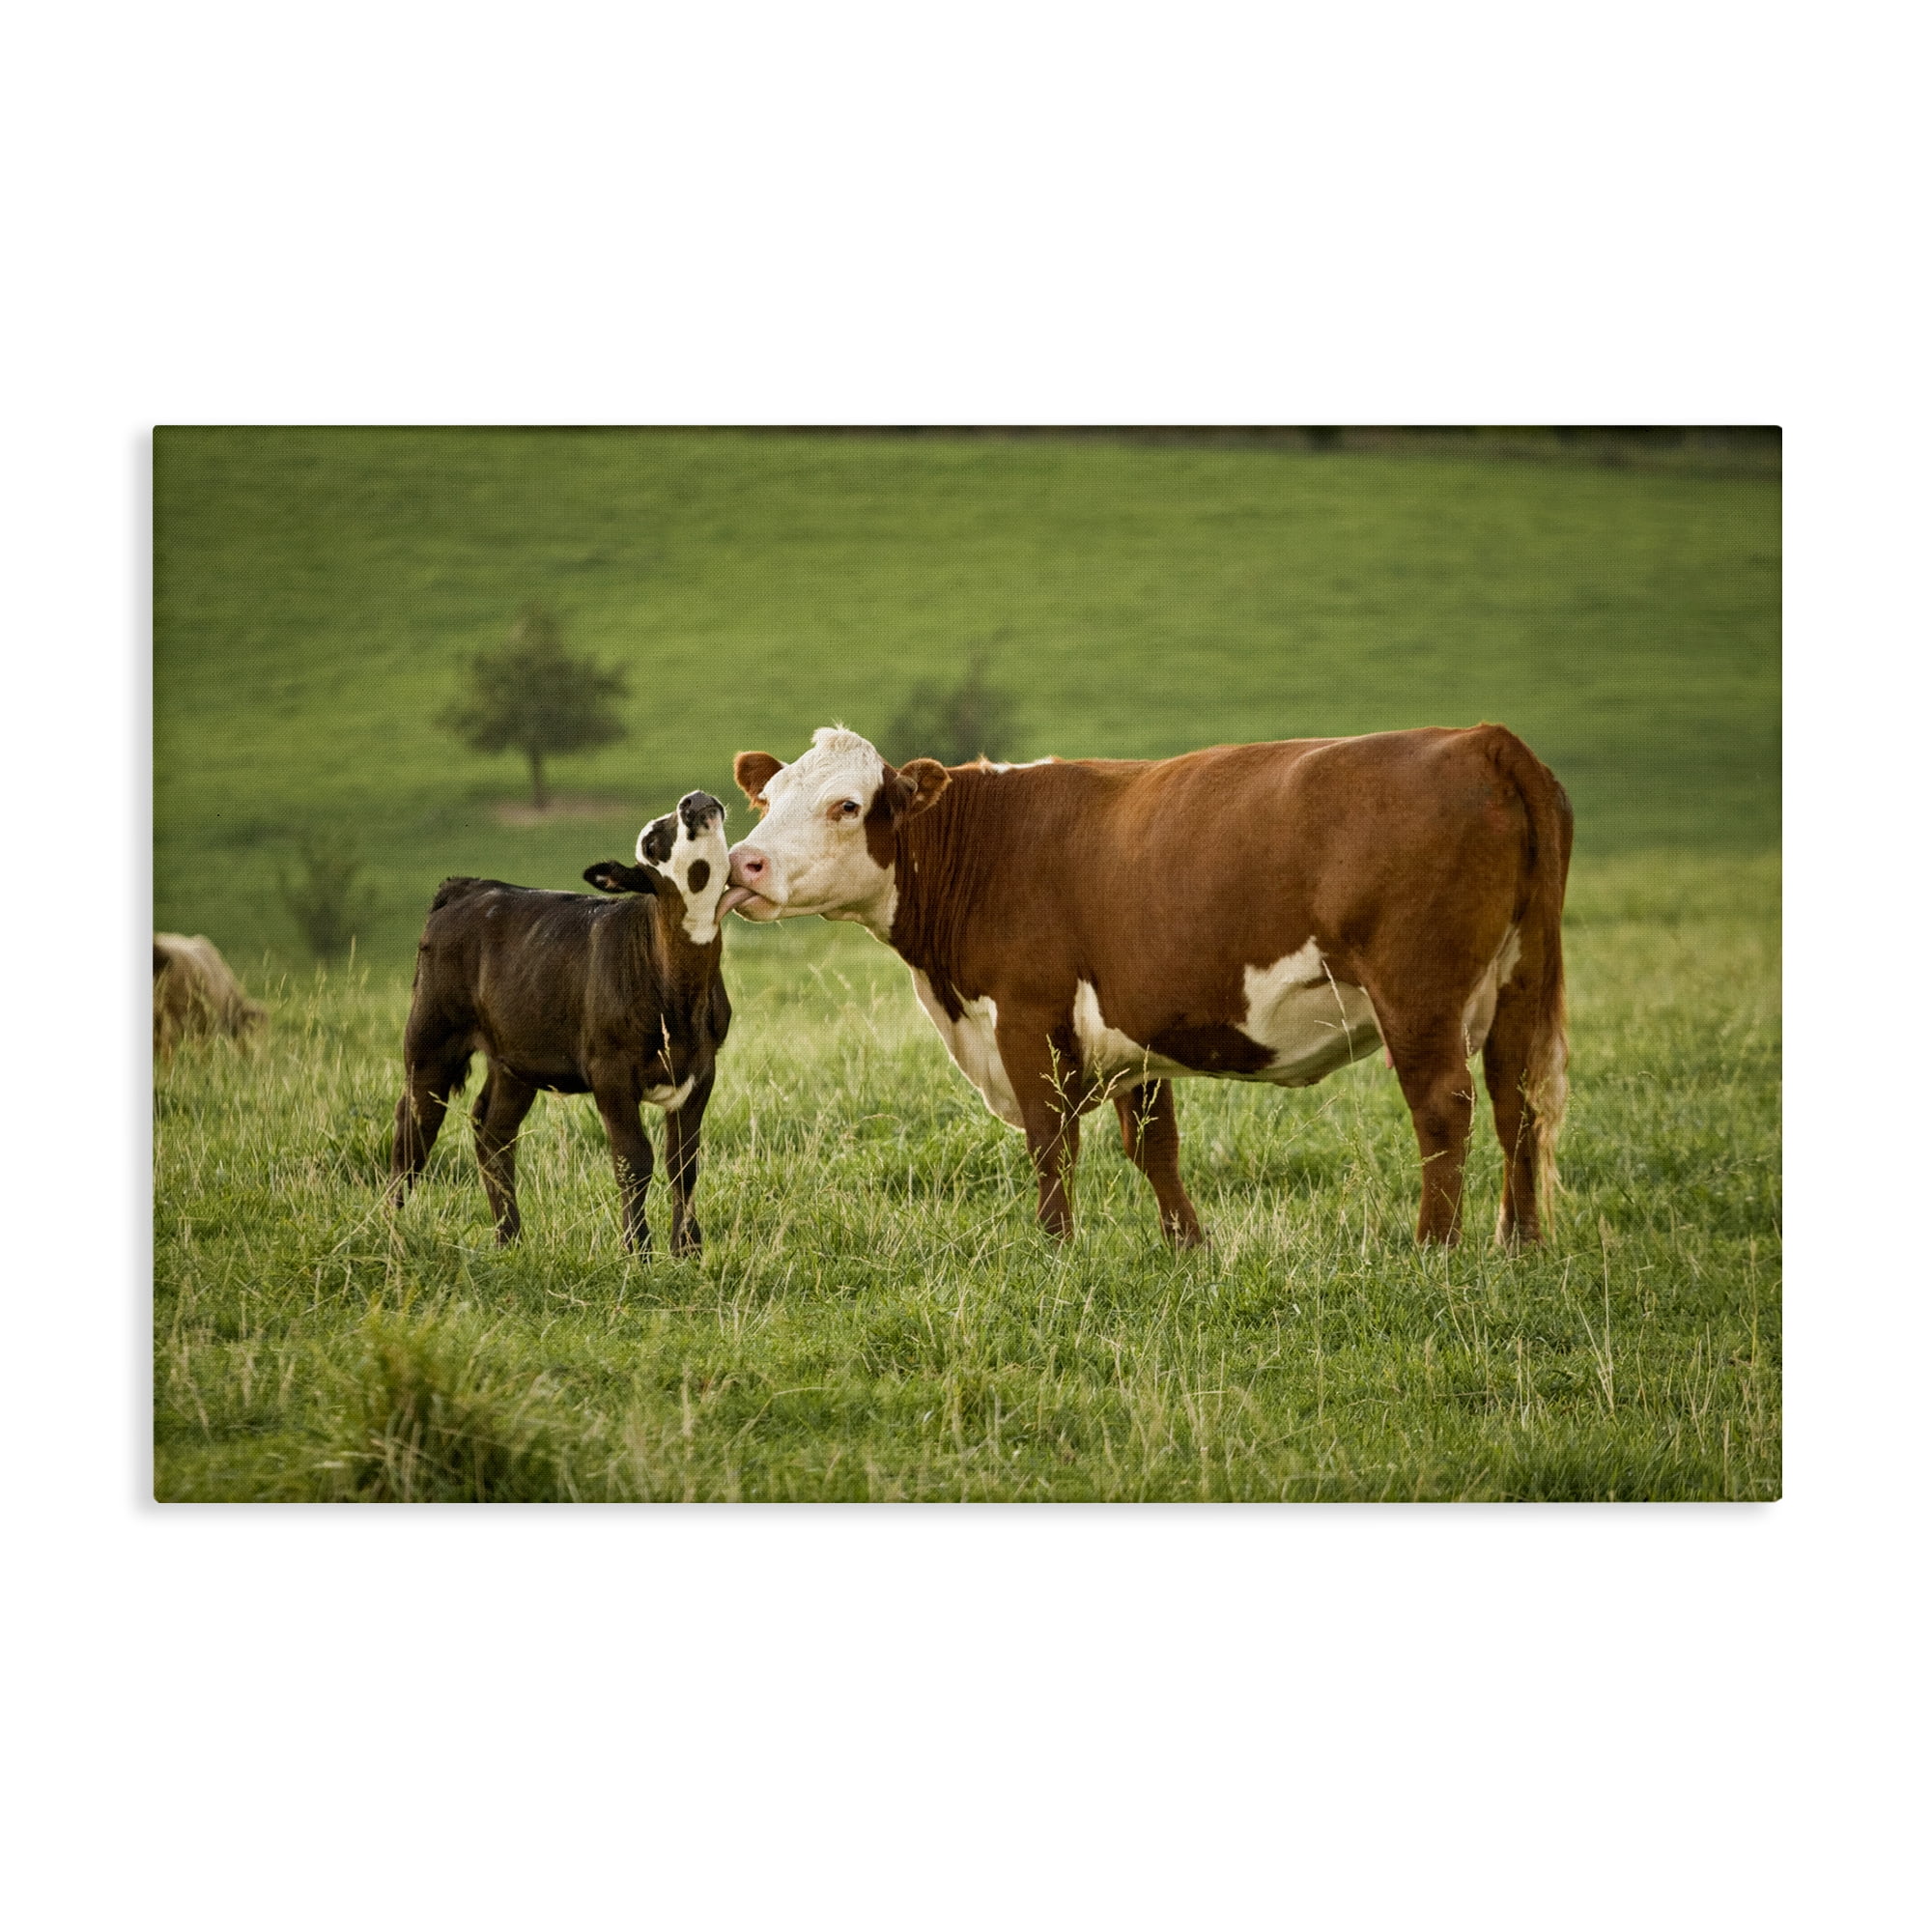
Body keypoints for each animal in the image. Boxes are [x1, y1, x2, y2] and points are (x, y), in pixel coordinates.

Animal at [389, 791, 734, 1256]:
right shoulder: (609, 1071)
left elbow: (684, 1162)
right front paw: (637, 1250)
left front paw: (688, 1250)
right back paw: (391, 1229)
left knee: (493, 1132)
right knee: (413, 1127)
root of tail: (469, 886)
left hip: (515, 1058)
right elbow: (634, 1159)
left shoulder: (702, 1068)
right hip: (431, 1037)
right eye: (651, 841)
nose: (694, 800)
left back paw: (509, 1238)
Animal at [720, 726, 1570, 1250]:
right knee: (1517, 1102)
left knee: (1444, 1109)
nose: (741, 864)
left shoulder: (1027, 1017)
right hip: (1518, 983)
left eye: (847, 805)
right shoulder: (1133, 1031)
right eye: (767, 800)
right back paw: (1520, 1243)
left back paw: (1435, 1246)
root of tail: (1482, 739)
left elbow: (1051, 1141)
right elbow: (1155, 1144)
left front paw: (1056, 1246)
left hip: (1417, 995)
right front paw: (1189, 1246)